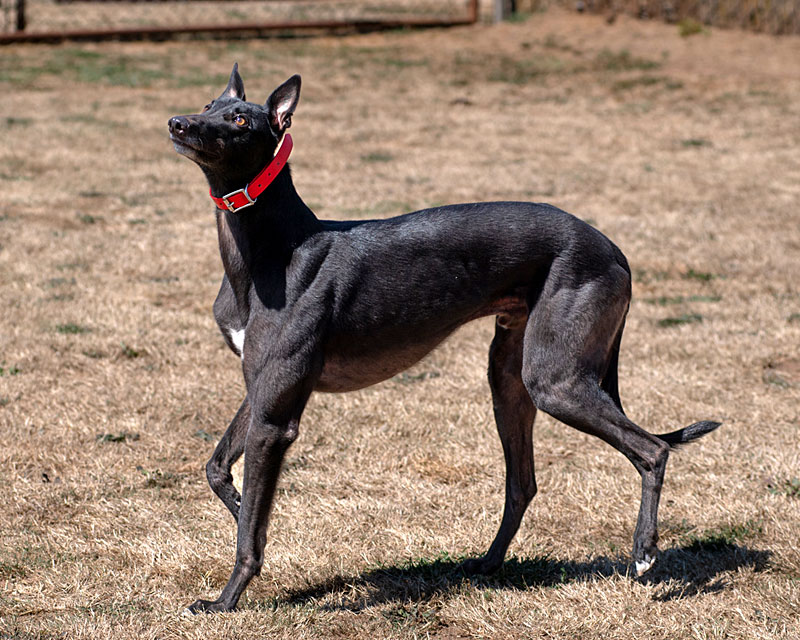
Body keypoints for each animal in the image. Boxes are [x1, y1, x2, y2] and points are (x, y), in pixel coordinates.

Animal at [167, 66, 720, 616]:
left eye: (240, 119)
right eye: (210, 104)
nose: (177, 123)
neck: (274, 250)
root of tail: (613, 248)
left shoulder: (275, 419)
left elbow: (250, 534)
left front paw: (224, 601)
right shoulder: (262, 388)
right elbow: (217, 469)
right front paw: (241, 503)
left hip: (555, 380)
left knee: (651, 449)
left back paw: (644, 553)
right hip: (509, 378)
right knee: (523, 482)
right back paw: (487, 564)